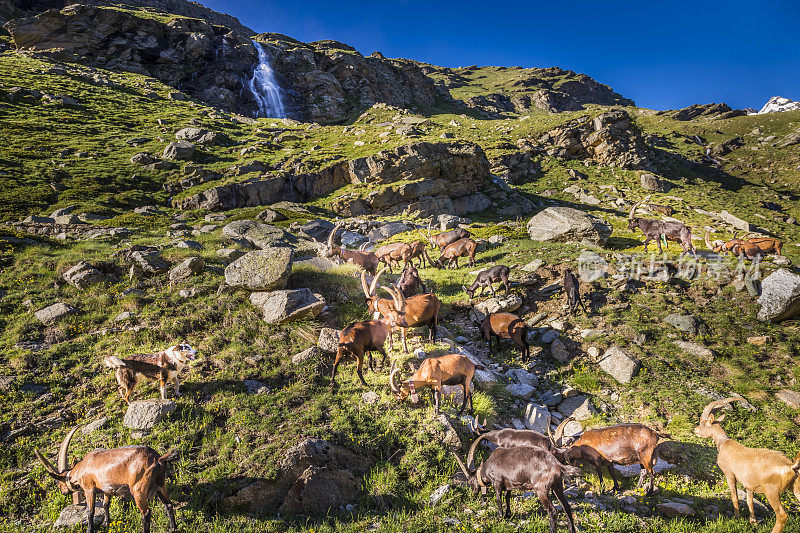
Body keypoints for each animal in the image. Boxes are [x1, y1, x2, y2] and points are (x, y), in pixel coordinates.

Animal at [34, 428, 178, 532]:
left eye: (59, 483)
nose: (64, 492)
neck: (82, 467)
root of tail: (157, 459)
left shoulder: (89, 488)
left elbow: (90, 511)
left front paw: (90, 530)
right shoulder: (107, 490)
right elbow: (105, 505)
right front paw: (106, 523)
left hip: (138, 488)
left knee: (146, 513)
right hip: (160, 483)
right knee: (168, 504)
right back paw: (172, 528)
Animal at [692, 396, 800, 528]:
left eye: (703, 424)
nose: (695, 430)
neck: (724, 444)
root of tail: (791, 466)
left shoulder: (729, 474)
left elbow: (735, 496)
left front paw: (737, 516)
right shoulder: (749, 484)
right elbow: (750, 501)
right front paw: (753, 521)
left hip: (772, 491)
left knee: (782, 515)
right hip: (797, 488)